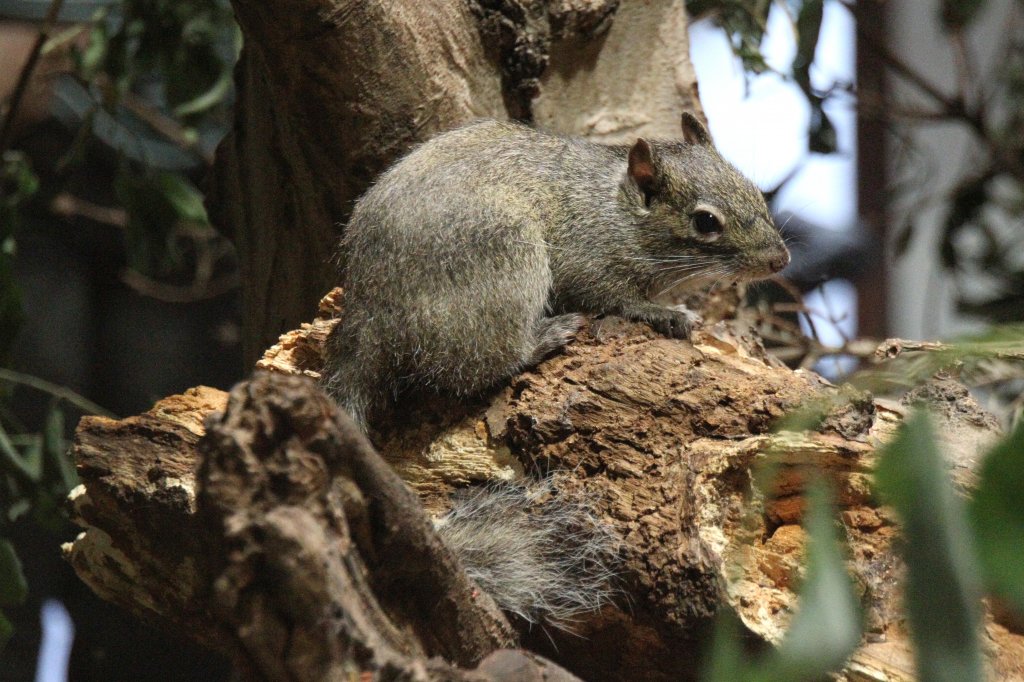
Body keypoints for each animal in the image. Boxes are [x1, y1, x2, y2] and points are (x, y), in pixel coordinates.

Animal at [319, 112, 790, 626]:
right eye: (705, 222)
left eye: (754, 190)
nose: (779, 260)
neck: (618, 212)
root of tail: (370, 316)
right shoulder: (588, 264)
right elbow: (616, 298)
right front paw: (667, 314)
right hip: (503, 261)